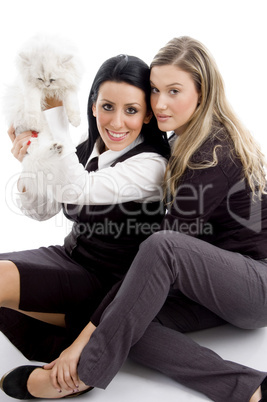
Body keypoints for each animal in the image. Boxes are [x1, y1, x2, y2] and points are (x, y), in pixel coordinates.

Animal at [2, 35, 82, 207]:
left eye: (52, 79)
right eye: (40, 78)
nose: (46, 85)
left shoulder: (69, 87)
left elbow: (72, 103)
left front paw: (75, 120)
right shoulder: (31, 87)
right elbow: (32, 104)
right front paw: (34, 119)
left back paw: (56, 148)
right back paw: (54, 148)